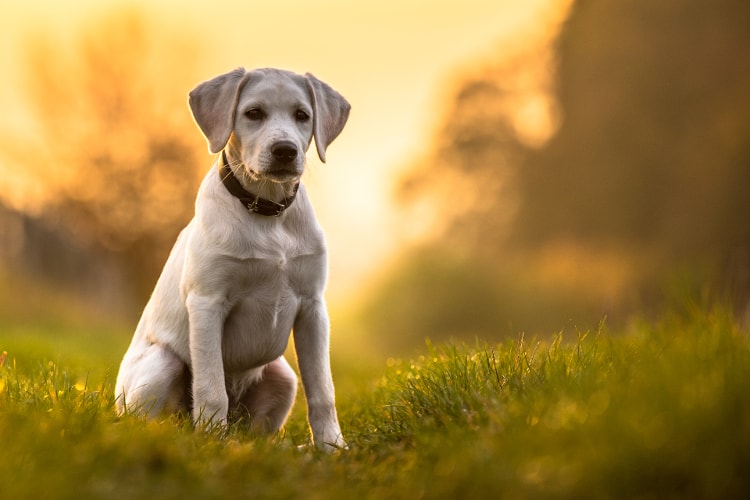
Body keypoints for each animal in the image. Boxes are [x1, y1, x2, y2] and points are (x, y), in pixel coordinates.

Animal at [115, 67, 352, 450]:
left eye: (302, 115)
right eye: (253, 113)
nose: (285, 151)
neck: (266, 212)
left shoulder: (313, 307)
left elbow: (322, 390)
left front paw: (332, 448)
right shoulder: (207, 302)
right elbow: (211, 390)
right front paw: (211, 443)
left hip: (282, 376)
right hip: (162, 363)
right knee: (149, 423)